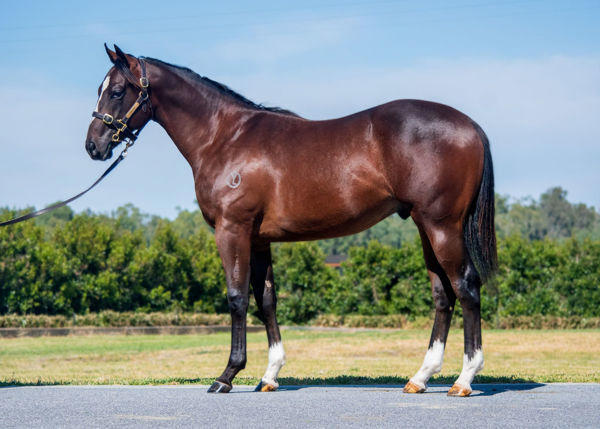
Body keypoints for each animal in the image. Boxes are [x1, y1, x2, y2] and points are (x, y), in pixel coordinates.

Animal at [84, 45, 496, 396]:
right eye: (102, 89)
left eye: (117, 91)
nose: (93, 146)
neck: (224, 137)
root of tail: (472, 126)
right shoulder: (258, 238)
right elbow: (266, 300)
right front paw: (269, 375)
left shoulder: (232, 230)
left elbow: (236, 297)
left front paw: (227, 375)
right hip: (426, 227)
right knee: (443, 295)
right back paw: (420, 378)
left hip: (442, 226)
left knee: (466, 287)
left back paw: (464, 379)